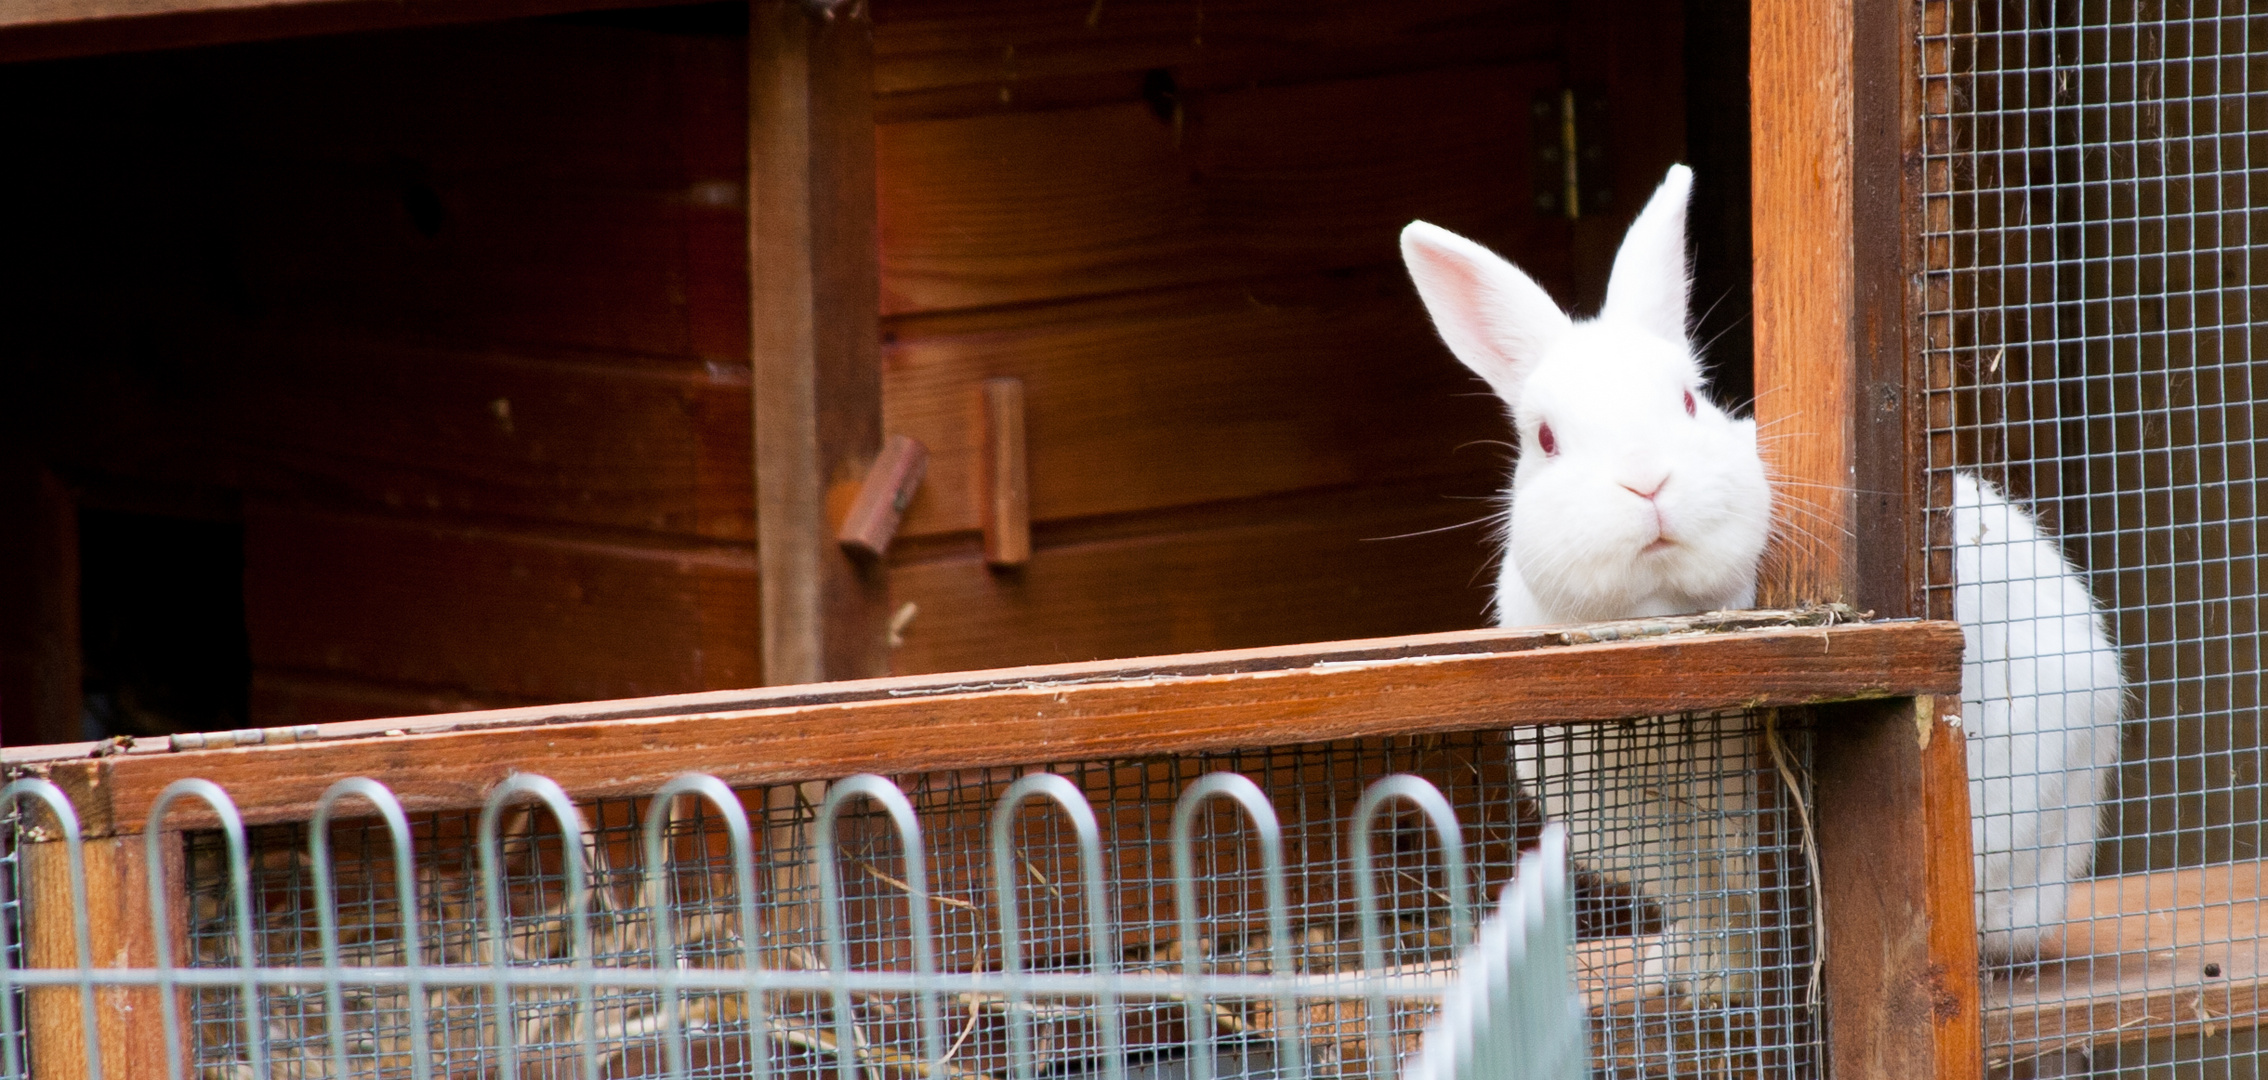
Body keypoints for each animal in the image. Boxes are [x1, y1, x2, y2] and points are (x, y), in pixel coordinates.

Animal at [1397, 162, 2122, 993]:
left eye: (1690, 399)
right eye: (1545, 438)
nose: (1647, 482)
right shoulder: (1652, 833)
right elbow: (1716, 908)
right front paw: (1706, 979)